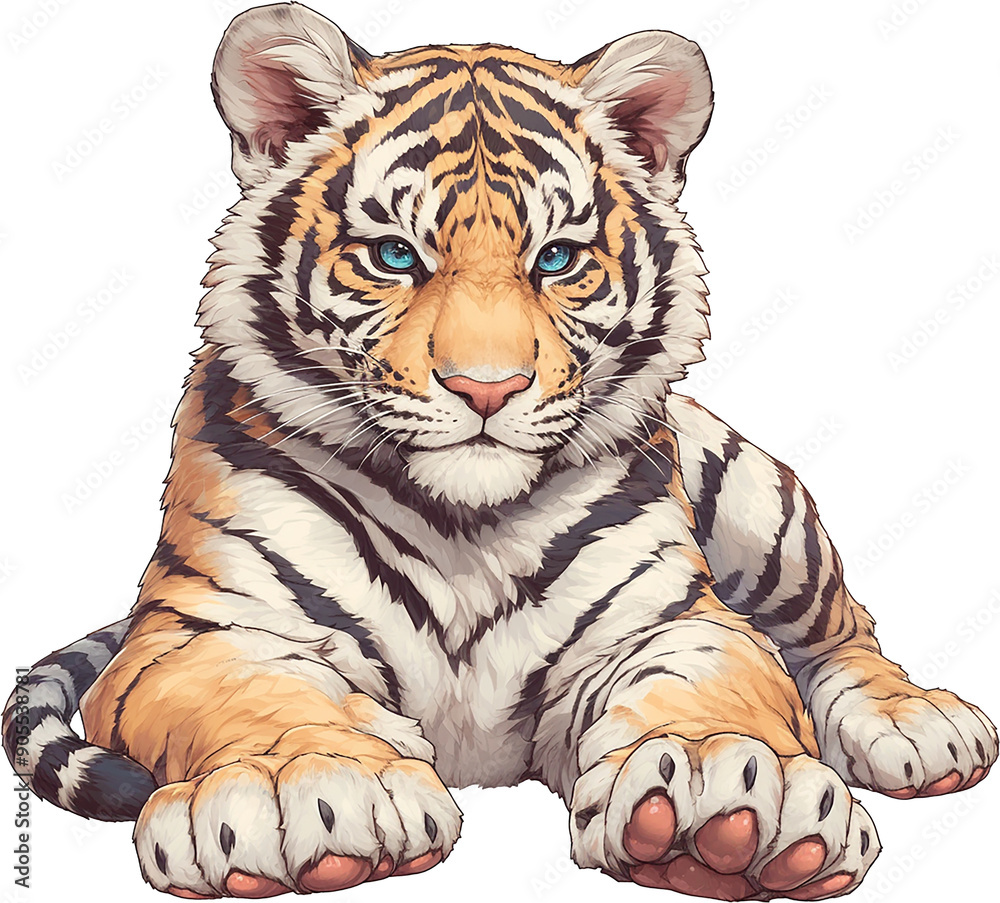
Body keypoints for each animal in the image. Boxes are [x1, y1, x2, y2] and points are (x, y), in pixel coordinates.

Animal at [3, 2, 996, 900]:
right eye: (395, 256)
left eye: (556, 260)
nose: (487, 387)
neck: (464, 527)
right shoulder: (197, 632)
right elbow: (263, 694)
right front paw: (310, 788)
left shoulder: (675, 618)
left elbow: (704, 688)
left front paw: (726, 796)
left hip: (764, 509)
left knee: (844, 630)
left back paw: (920, 725)